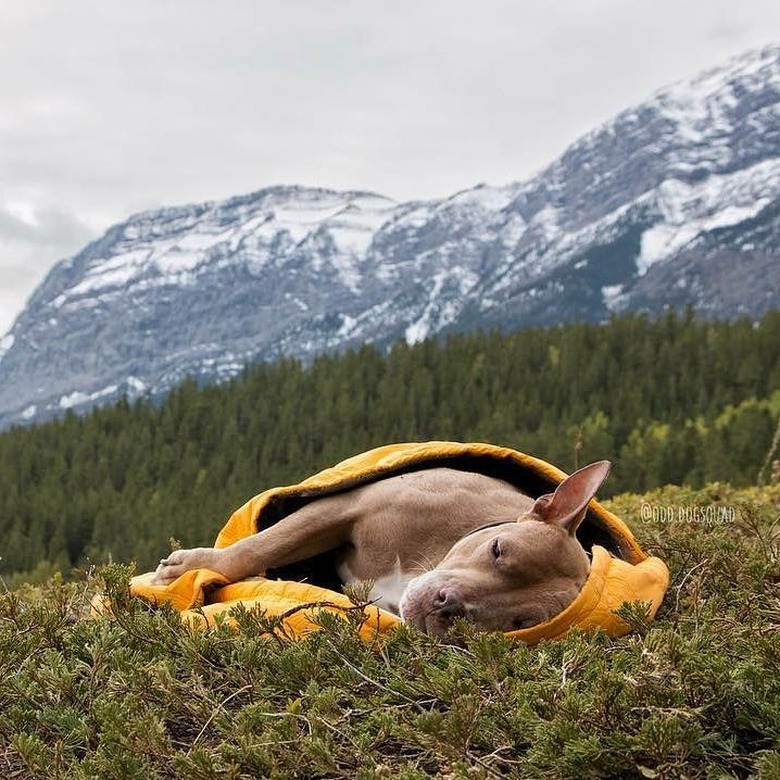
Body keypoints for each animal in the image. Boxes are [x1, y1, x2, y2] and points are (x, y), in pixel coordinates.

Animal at [155, 458, 612, 632]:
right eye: (497, 549)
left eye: (519, 623)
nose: (448, 606)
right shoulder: (345, 506)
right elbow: (260, 546)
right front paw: (188, 568)